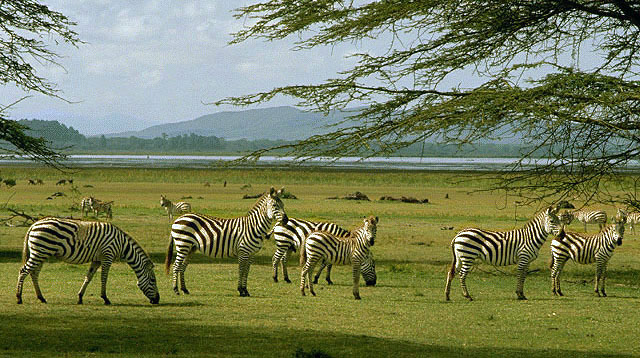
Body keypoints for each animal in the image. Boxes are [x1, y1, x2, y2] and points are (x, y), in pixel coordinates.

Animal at [15, 215, 160, 304]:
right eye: (153, 280)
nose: (157, 300)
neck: (122, 245)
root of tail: (33, 225)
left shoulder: (97, 260)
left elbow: (88, 277)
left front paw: (80, 297)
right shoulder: (107, 256)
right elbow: (104, 278)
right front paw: (105, 298)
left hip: (41, 253)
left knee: (34, 273)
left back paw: (41, 297)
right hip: (40, 252)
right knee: (23, 271)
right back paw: (19, 298)